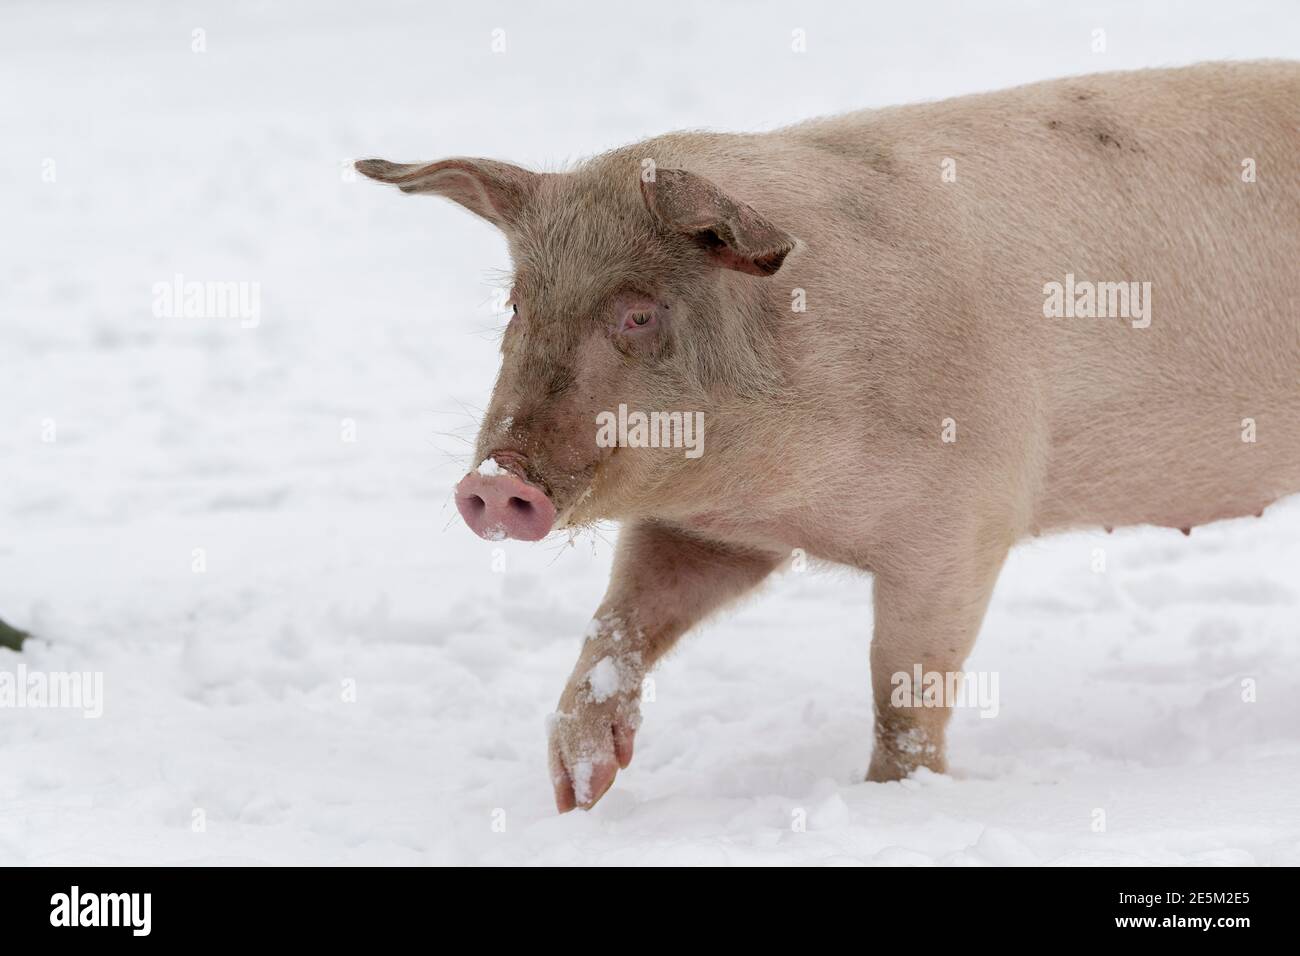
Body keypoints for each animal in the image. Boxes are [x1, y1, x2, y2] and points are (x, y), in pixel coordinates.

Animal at [356, 59, 1300, 811]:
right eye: (518, 306)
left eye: (638, 312)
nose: (493, 480)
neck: (775, 487)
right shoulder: (709, 529)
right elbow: (621, 621)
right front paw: (578, 792)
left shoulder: (966, 522)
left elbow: (903, 689)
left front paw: (897, 799)